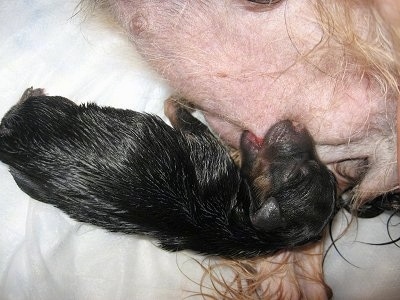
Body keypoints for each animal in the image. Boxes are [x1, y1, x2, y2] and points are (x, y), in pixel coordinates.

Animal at [0, 86, 338, 258]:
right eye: (315, 170)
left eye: (299, 174)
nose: (298, 124)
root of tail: (9, 141)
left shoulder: (206, 148)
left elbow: (182, 117)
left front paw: (177, 100)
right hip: (30, 185)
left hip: (52, 110)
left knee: (28, 107)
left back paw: (29, 94)